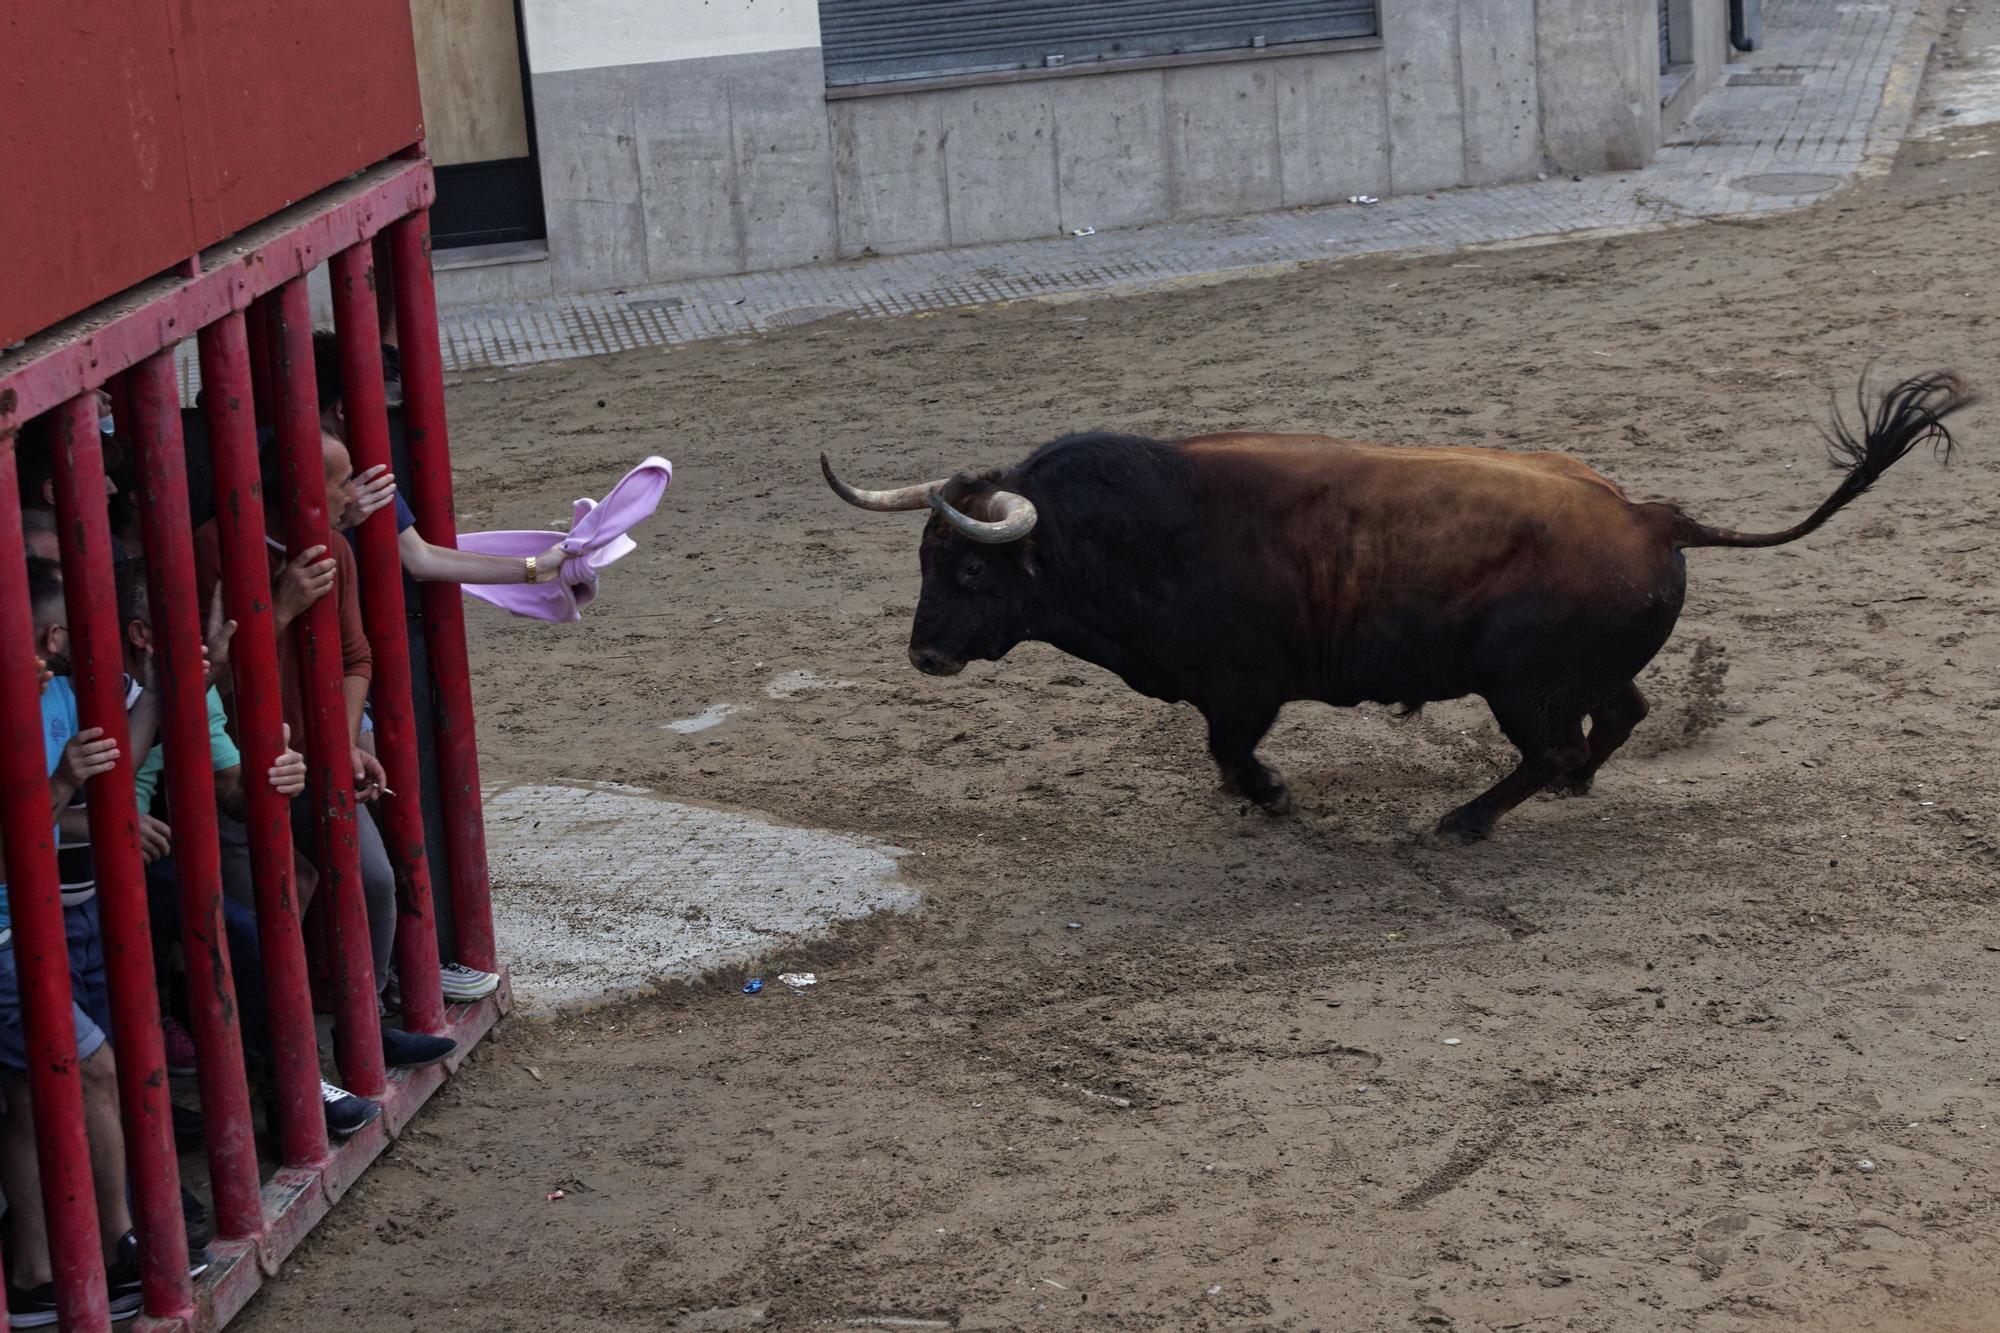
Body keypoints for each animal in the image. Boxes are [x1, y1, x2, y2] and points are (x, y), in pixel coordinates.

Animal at [824, 368, 1968, 836]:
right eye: (922, 559)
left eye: (969, 571)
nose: (923, 655)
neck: (1128, 535)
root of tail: (1650, 515)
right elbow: (1217, 756)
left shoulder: (1242, 688)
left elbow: (1228, 748)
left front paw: (1272, 794)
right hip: (1579, 671)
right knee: (1616, 720)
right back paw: (1569, 791)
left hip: (1519, 680)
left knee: (1550, 746)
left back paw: (1465, 821)